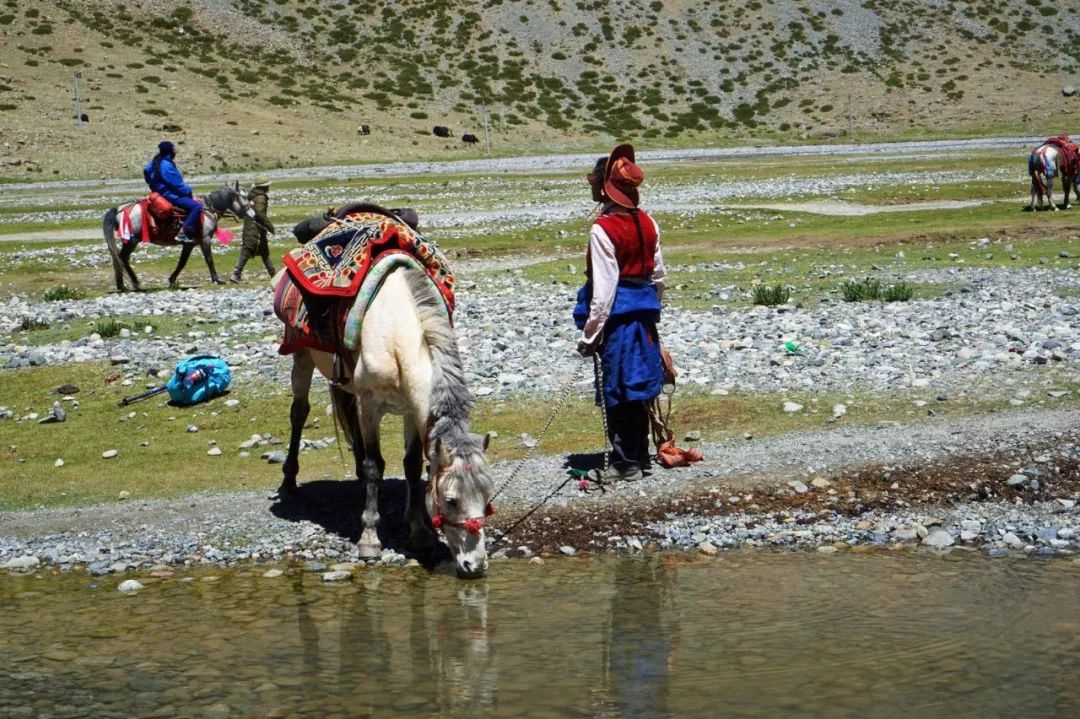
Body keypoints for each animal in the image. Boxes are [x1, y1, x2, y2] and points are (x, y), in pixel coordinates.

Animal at [102, 182, 249, 291]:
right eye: (244, 196)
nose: (248, 211)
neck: (208, 209)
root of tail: (119, 209)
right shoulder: (205, 240)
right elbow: (209, 260)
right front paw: (217, 279)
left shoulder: (189, 244)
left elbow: (182, 262)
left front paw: (172, 280)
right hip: (132, 240)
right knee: (122, 257)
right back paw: (134, 282)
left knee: (119, 258)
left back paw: (122, 285)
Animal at [280, 267, 494, 578]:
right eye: (451, 500)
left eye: (487, 499)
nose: (475, 566)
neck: (394, 334)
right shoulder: (370, 404)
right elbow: (375, 466)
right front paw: (369, 539)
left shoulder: (411, 410)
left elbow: (412, 465)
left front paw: (419, 533)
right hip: (302, 357)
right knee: (299, 412)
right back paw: (288, 481)